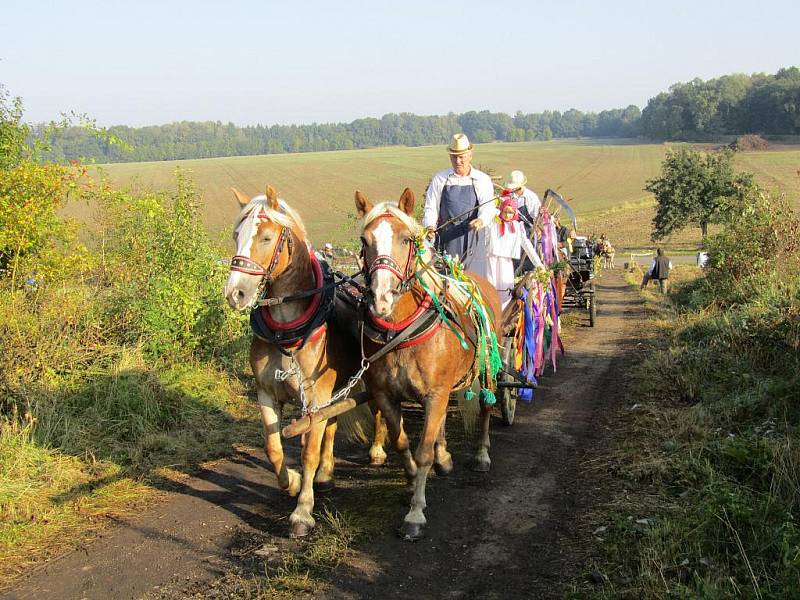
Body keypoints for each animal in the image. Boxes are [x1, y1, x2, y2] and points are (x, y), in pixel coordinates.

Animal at [223, 185, 386, 536]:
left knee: (380, 409)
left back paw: (378, 450)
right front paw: (295, 482)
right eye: (236, 235)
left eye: (266, 237)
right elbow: (274, 449)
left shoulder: (314, 398)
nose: (235, 294)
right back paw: (326, 473)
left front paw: (302, 511)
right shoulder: (267, 393)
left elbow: (308, 451)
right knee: (332, 423)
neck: (288, 330)